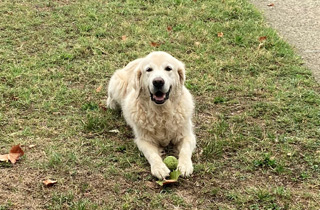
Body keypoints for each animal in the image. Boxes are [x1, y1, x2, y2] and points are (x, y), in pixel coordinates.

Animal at [107, 51, 196, 180]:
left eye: (168, 68)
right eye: (149, 70)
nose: (158, 81)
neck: (161, 112)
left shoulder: (187, 135)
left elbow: (185, 149)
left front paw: (184, 166)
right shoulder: (143, 140)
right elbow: (152, 154)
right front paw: (159, 168)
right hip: (117, 83)